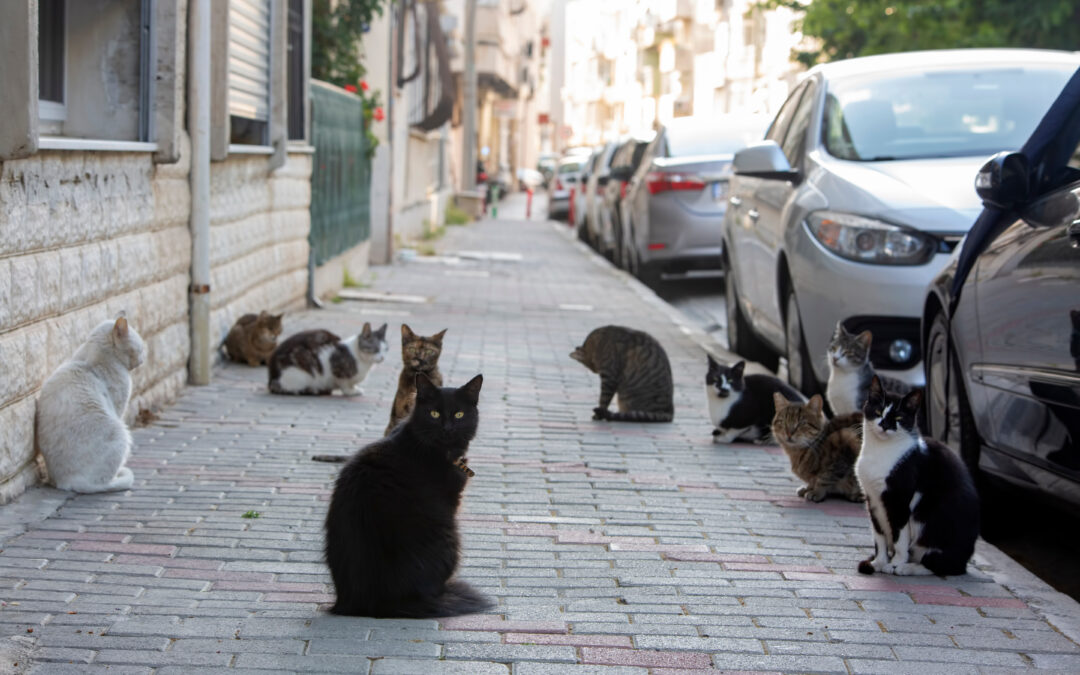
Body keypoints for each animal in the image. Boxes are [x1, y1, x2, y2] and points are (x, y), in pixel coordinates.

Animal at [36, 313, 145, 492]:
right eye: (141, 348)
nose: (143, 359)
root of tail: (68, 482)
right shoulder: (118, 408)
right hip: (121, 433)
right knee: (103, 482)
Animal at [855, 375, 984, 574]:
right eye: (878, 411)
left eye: (898, 417)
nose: (884, 425)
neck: (879, 451)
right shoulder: (873, 499)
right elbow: (879, 535)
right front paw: (878, 562)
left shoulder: (899, 500)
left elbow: (899, 538)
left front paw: (895, 563)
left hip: (931, 518)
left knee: (940, 564)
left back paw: (907, 568)